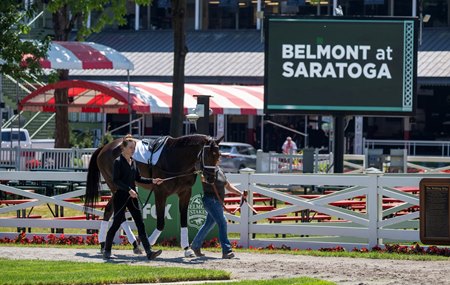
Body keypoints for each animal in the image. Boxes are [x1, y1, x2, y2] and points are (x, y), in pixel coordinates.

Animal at [84, 134, 221, 256]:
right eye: (207, 155)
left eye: (218, 156)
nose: (211, 178)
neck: (175, 158)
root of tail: (105, 147)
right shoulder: (160, 193)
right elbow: (160, 223)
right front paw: (148, 244)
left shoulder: (185, 193)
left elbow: (183, 221)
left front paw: (187, 249)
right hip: (117, 188)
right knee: (120, 214)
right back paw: (131, 245)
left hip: (120, 190)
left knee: (109, 210)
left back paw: (106, 244)